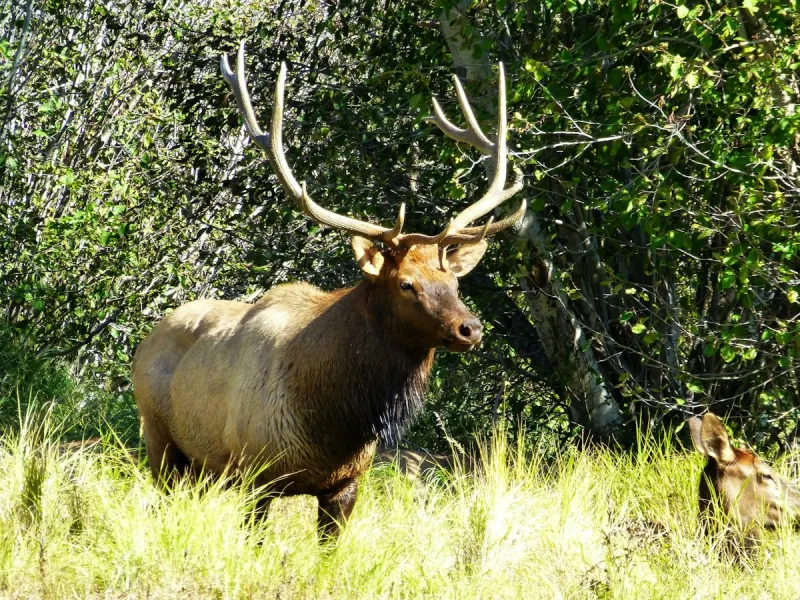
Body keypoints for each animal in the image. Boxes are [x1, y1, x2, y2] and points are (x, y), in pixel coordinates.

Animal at [131, 42, 525, 538]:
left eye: (453, 281)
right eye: (406, 284)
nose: (469, 328)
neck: (334, 421)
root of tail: (147, 339)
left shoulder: (346, 483)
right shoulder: (257, 475)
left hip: (200, 468)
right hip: (161, 443)